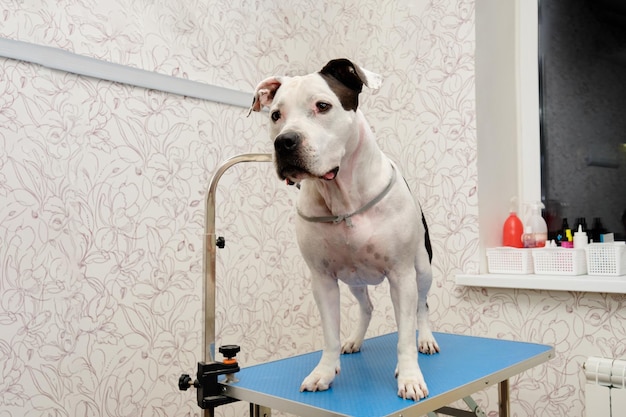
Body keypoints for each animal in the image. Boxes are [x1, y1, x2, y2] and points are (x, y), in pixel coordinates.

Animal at [250, 58, 438, 400]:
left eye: (323, 106)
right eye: (275, 115)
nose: (284, 141)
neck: (342, 199)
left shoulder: (401, 275)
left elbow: (404, 335)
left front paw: (409, 376)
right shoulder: (323, 279)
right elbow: (329, 334)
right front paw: (324, 372)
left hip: (422, 270)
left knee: (422, 305)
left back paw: (426, 339)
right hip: (354, 280)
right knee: (367, 307)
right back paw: (355, 340)